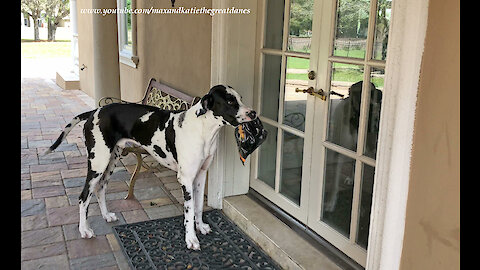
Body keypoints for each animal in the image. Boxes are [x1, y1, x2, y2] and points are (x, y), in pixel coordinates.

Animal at [43, 85, 256, 250]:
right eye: (230, 101)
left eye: (240, 98)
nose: (253, 113)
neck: (202, 129)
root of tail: (94, 112)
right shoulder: (186, 179)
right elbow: (189, 211)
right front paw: (191, 239)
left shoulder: (201, 176)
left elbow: (198, 206)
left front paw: (201, 226)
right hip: (97, 164)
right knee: (83, 197)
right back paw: (84, 230)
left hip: (110, 161)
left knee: (100, 188)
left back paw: (106, 216)